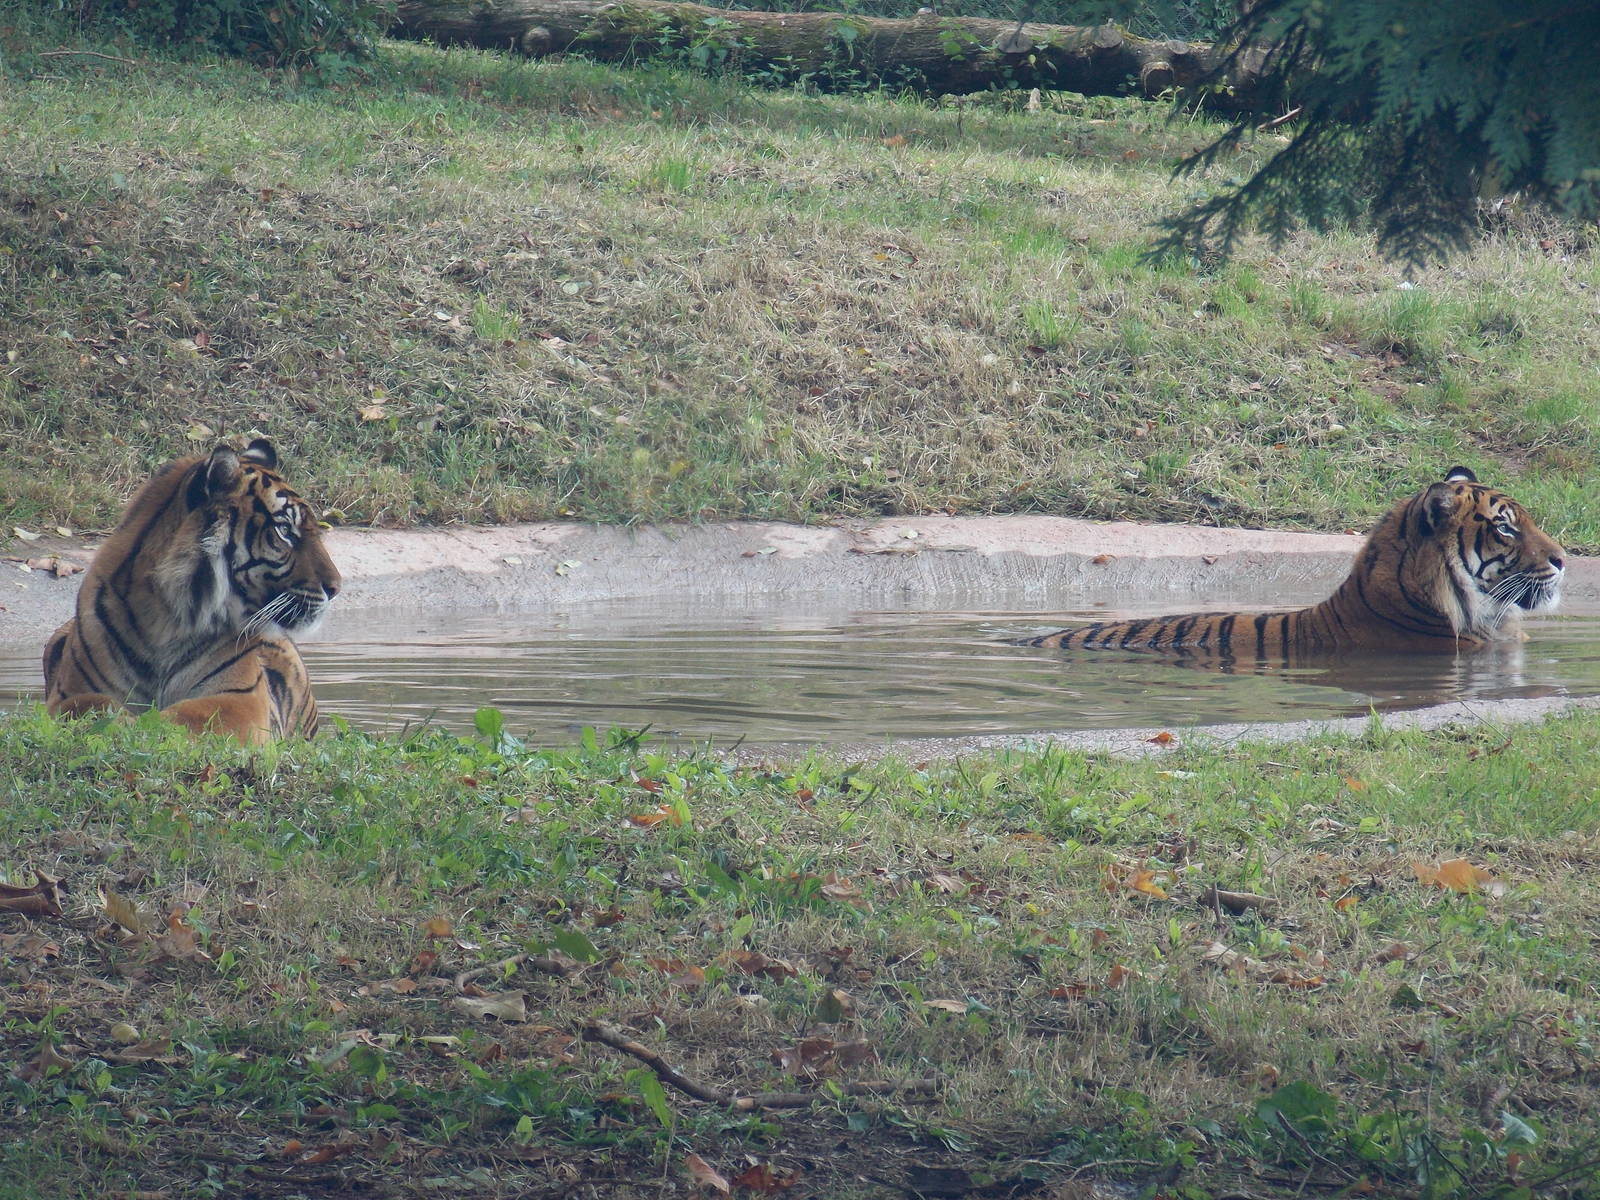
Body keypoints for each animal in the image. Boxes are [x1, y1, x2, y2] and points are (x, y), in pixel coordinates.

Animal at [42, 438, 341, 744]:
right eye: (285, 531)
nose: (335, 588)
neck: (162, 618)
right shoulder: (70, 691)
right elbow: (88, 703)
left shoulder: (242, 699)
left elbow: (187, 717)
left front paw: (143, 726)